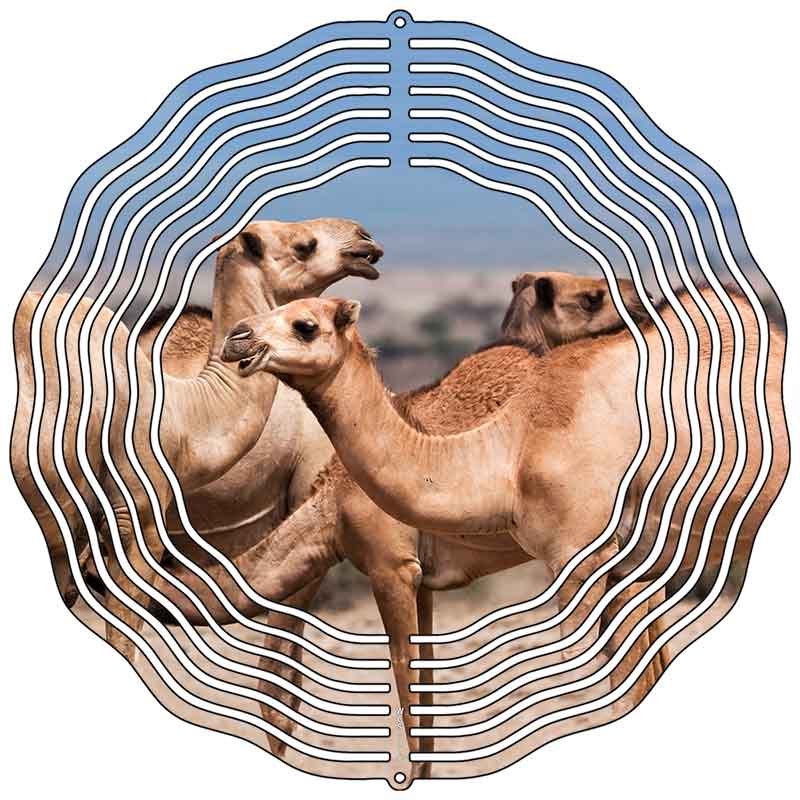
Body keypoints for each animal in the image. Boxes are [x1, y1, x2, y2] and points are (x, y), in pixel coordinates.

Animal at [154, 271, 655, 775]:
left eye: (305, 325)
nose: (238, 338)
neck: (334, 502)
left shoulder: (390, 566)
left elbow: (398, 685)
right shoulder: (424, 581)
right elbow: (426, 688)